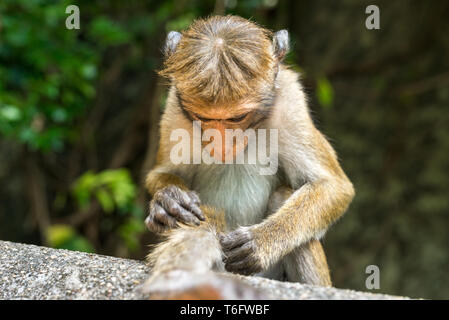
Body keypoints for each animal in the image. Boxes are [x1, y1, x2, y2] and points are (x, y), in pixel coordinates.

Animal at [143, 15, 354, 294]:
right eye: (203, 117)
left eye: (237, 117)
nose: (220, 142)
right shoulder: (175, 111)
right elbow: (164, 172)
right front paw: (169, 200)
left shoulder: (291, 101)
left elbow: (334, 185)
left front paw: (260, 241)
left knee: (283, 195)